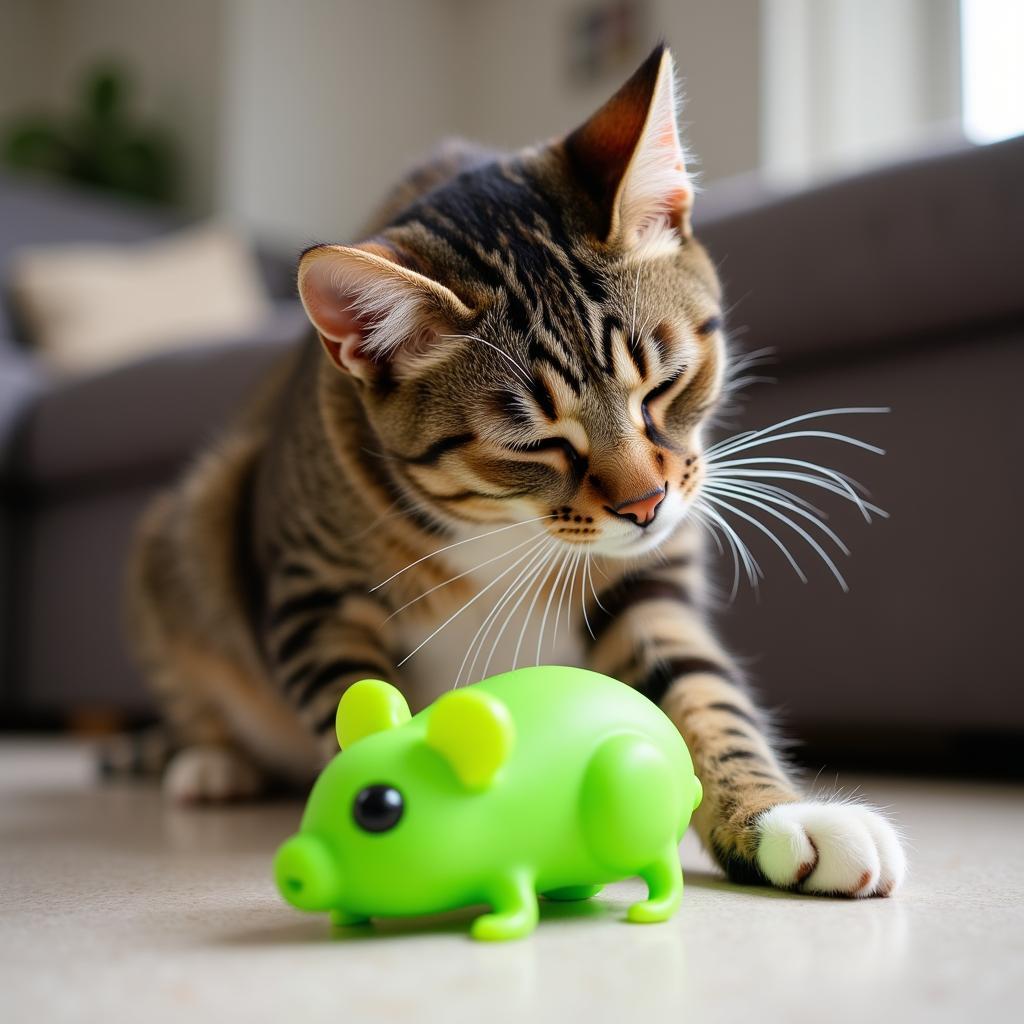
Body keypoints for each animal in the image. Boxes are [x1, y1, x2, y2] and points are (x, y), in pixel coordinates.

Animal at [125, 46, 905, 897]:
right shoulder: (310, 589)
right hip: (190, 523)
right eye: (534, 442)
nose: (646, 503)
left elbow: (702, 694)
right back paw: (210, 761)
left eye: (665, 385)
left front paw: (778, 818)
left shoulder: (646, 580)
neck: (504, 526)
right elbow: (351, 703)